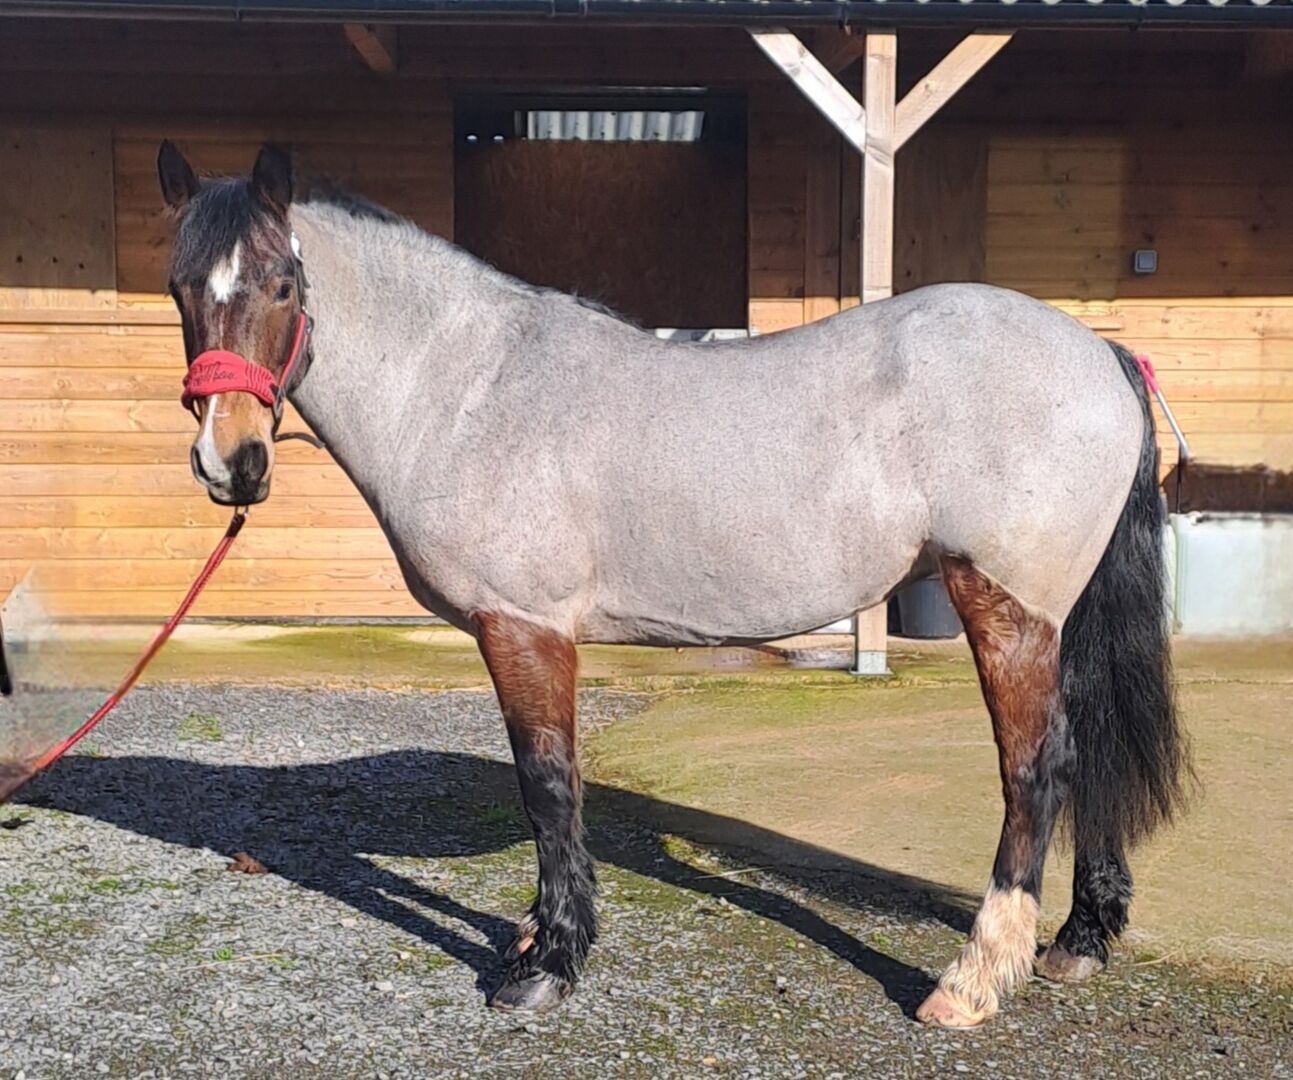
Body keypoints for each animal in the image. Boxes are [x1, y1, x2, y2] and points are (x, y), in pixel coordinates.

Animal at [155, 141, 1191, 1028]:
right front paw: (537, 937)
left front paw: (548, 965)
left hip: (1006, 607)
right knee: (1089, 751)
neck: (472, 388)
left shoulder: (523, 628)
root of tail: (1097, 353)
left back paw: (971, 982)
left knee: (1037, 769)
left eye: (283, 285)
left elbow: (548, 783)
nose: (230, 463)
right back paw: (1077, 941)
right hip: (1060, 612)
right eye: (178, 288)